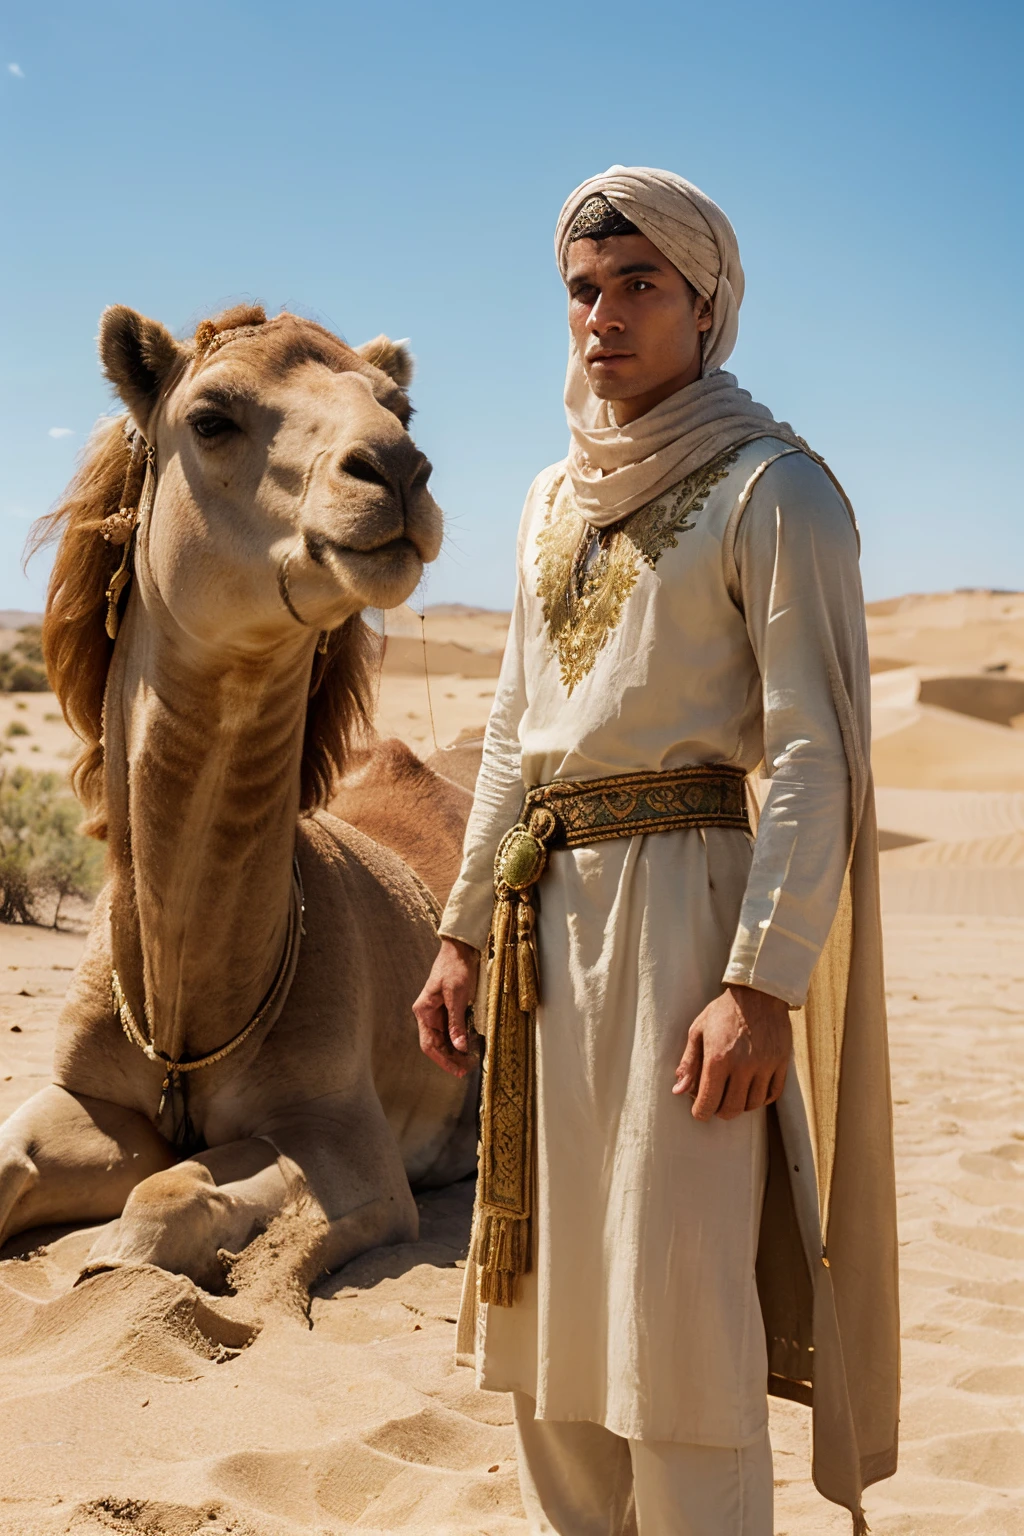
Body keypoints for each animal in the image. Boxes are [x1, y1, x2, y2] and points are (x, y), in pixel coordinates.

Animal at [0, 302, 482, 1296]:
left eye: (400, 409)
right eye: (212, 416)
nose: (397, 472)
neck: (190, 1014)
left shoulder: (350, 1140)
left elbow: (161, 1200)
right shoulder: (88, 1098)